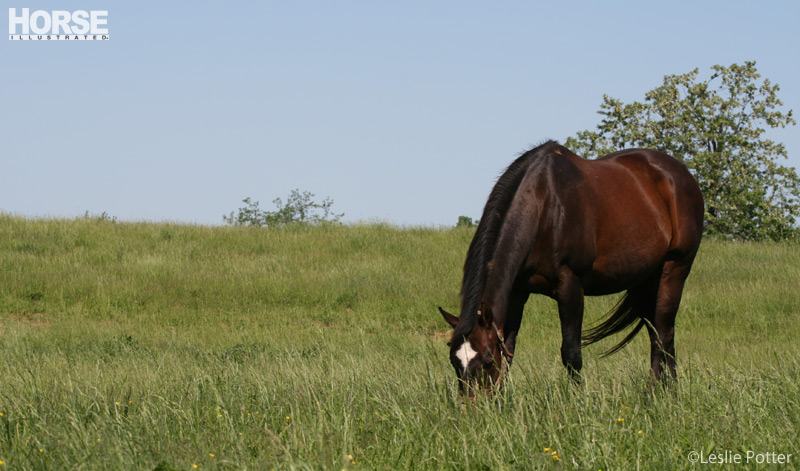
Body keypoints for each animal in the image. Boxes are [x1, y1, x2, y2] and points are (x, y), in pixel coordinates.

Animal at [440, 140, 704, 398]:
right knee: (655, 330)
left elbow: (571, 352)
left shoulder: (570, 286)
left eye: (486, 361)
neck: (544, 206)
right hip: (648, 279)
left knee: (664, 331)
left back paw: (661, 393)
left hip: (675, 268)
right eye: (455, 362)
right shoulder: (517, 292)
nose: (474, 407)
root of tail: (681, 174)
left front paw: (578, 401)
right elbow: (509, 348)